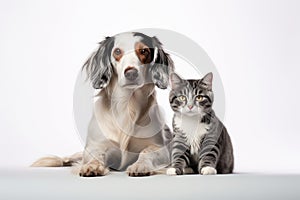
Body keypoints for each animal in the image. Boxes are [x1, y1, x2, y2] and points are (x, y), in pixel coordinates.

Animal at [31, 31, 173, 177]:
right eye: (117, 51)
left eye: (144, 51)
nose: (131, 73)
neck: (127, 105)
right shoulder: (96, 146)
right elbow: (96, 156)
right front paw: (92, 166)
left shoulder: (160, 148)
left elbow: (146, 153)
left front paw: (140, 165)